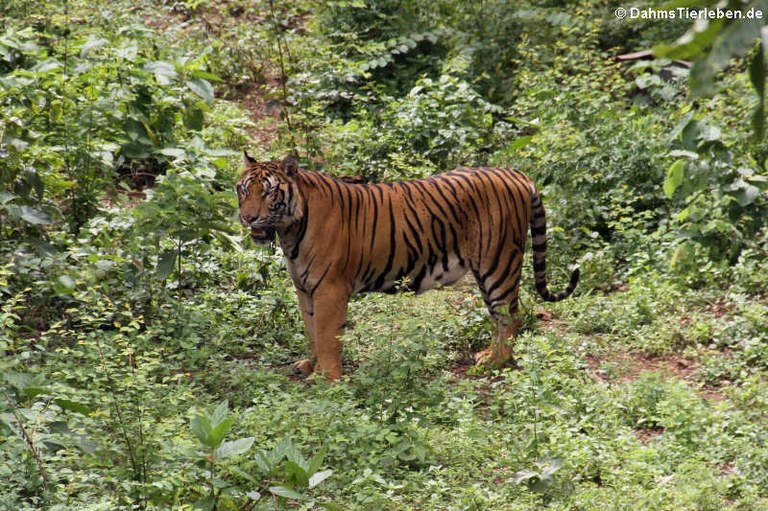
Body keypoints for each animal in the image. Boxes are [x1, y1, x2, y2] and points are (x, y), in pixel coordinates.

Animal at [237, 154, 580, 382]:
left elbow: (327, 335)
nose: (248, 217)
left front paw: (326, 378)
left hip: (497, 264)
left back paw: (495, 362)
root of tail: (517, 174)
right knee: (503, 317)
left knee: (510, 316)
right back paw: (488, 354)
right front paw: (310, 365)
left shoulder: (330, 289)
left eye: (268, 191)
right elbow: (311, 332)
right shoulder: (305, 289)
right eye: (243, 190)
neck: (290, 232)